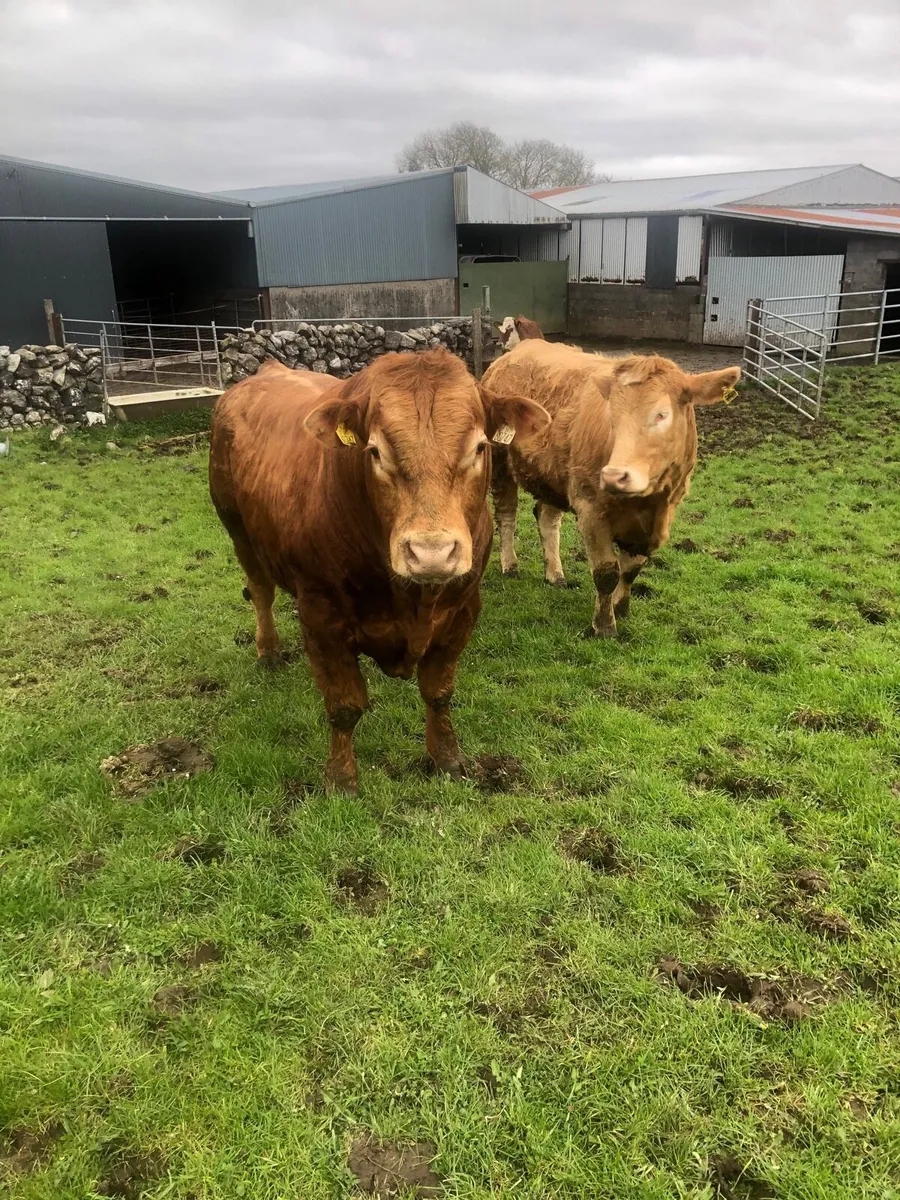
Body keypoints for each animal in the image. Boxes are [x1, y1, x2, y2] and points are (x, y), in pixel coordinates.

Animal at [209, 351, 549, 792]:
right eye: (375, 452)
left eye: (478, 447)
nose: (431, 553)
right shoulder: (320, 616)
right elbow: (344, 706)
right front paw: (341, 778)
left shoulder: (463, 609)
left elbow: (439, 692)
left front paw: (447, 758)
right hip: (237, 530)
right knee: (261, 592)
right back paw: (268, 651)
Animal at [482, 340, 741, 637]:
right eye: (612, 417)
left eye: (662, 414)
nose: (615, 476)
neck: (646, 504)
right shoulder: (590, 510)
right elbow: (606, 572)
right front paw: (604, 625)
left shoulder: (653, 523)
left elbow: (631, 569)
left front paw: (621, 607)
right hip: (500, 463)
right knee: (507, 515)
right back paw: (510, 565)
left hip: (553, 474)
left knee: (547, 518)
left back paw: (555, 575)